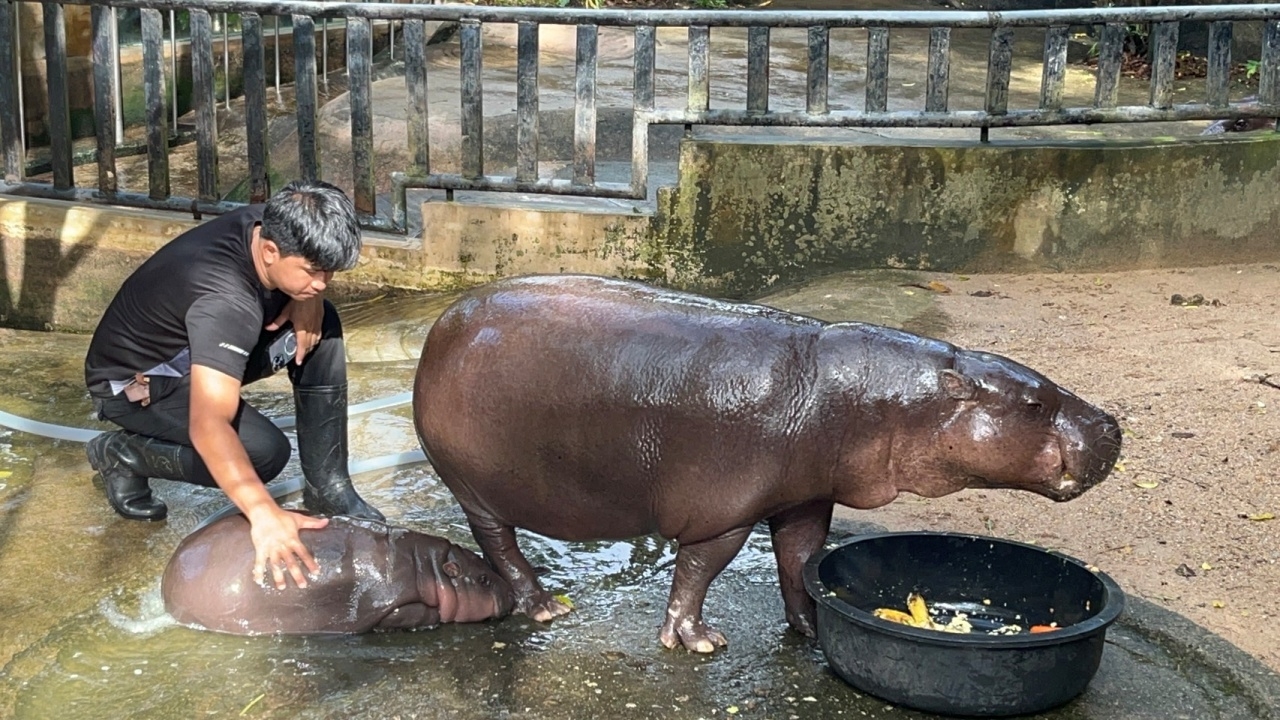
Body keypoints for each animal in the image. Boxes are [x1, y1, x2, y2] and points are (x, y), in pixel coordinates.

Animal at [162, 512, 512, 630]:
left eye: (485, 564)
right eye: (483, 579)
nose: (511, 595)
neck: (430, 567)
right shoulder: (394, 605)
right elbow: (416, 613)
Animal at [412, 272, 1121, 650]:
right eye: (1033, 403)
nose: (1112, 425)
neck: (885, 402)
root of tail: (443, 321)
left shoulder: (805, 498)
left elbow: (800, 561)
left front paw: (811, 631)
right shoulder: (722, 511)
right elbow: (698, 572)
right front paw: (697, 641)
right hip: (474, 487)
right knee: (499, 542)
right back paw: (544, 608)